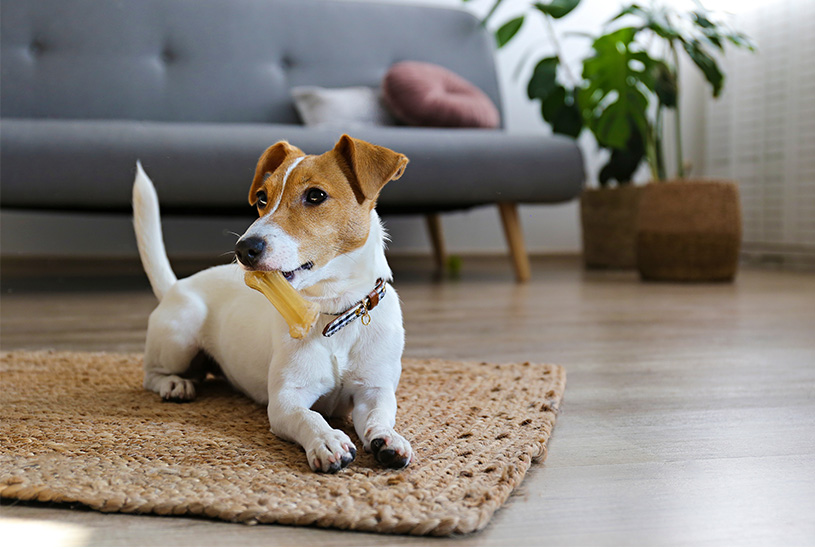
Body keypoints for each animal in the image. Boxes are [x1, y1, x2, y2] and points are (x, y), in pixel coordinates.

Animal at [135, 134, 414, 470]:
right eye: (261, 198)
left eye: (316, 195)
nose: (244, 249)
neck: (332, 313)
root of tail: (176, 285)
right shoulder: (286, 401)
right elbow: (309, 417)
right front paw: (328, 440)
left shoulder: (373, 392)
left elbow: (379, 416)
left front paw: (388, 439)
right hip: (180, 338)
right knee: (152, 374)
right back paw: (173, 384)